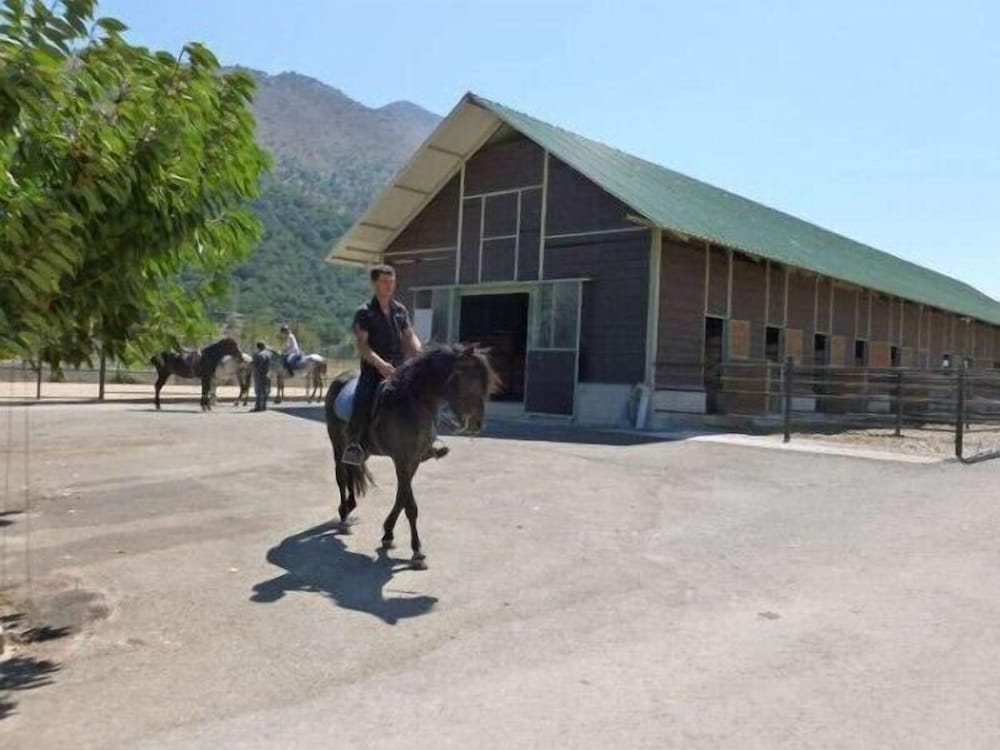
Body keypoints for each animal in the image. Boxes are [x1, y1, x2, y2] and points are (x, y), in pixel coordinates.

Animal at [324, 344, 500, 569]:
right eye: (466, 379)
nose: (476, 424)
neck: (413, 404)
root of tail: (340, 378)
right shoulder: (402, 459)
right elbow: (411, 506)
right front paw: (417, 552)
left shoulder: (414, 460)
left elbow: (401, 498)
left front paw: (388, 534)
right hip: (337, 444)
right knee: (341, 476)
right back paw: (344, 516)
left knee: (352, 470)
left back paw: (350, 507)